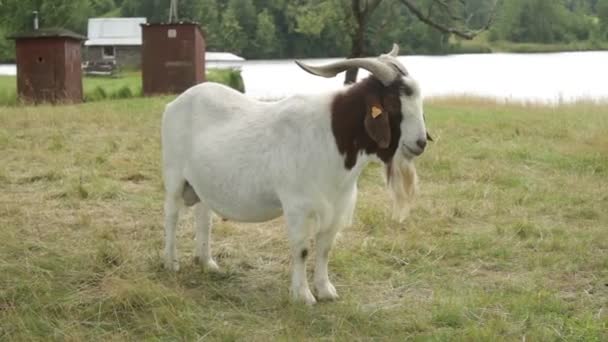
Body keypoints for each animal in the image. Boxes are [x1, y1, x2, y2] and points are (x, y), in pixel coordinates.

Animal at [160, 43, 428, 304]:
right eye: (393, 102)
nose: (420, 142)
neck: (331, 136)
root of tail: (175, 103)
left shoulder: (337, 206)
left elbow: (324, 249)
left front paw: (326, 290)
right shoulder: (299, 207)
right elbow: (302, 250)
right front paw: (303, 295)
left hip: (202, 183)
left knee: (204, 217)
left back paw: (207, 263)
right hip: (174, 176)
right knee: (172, 215)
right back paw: (171, 262)